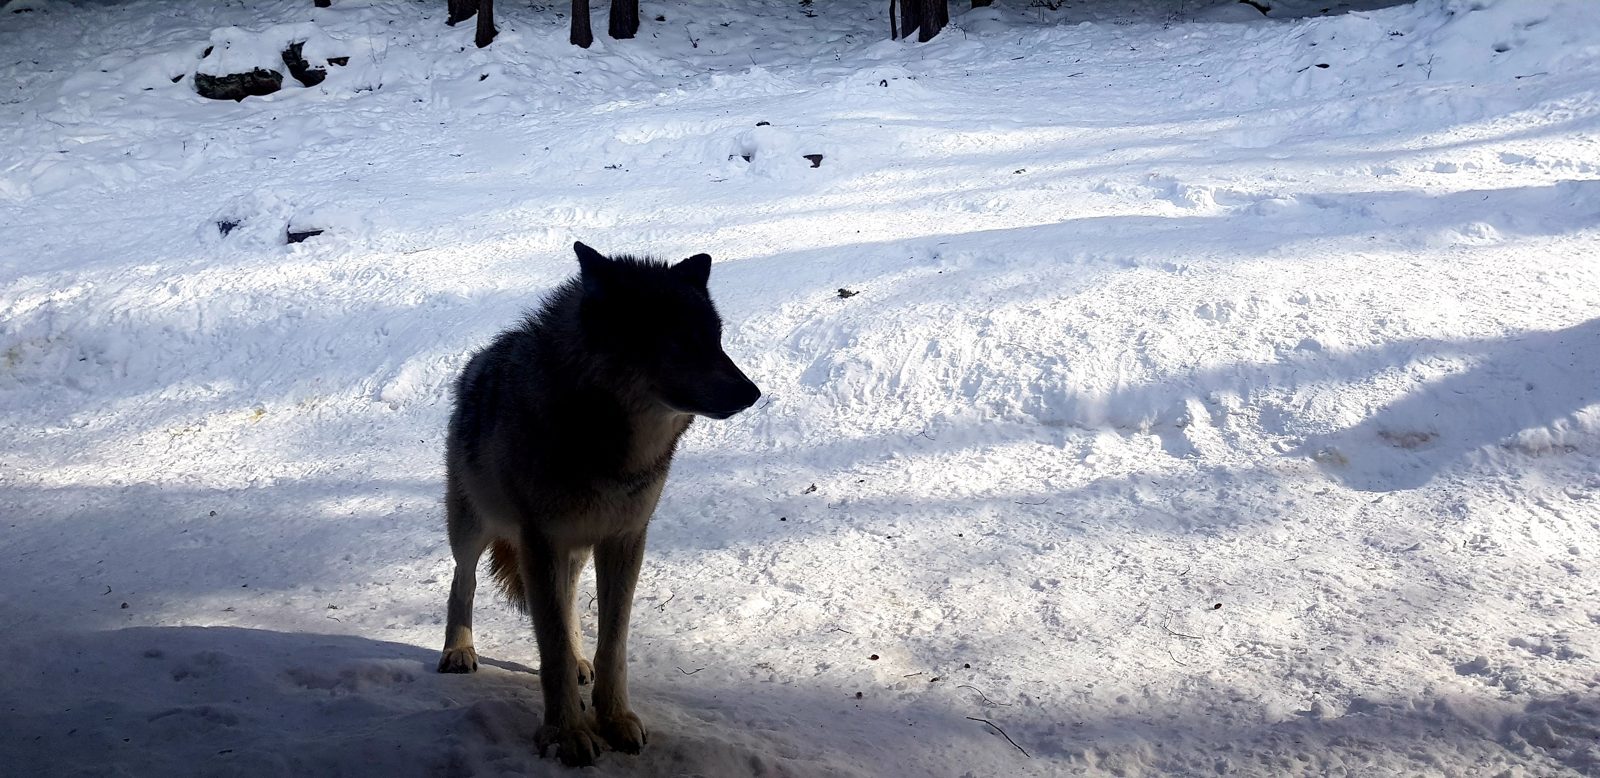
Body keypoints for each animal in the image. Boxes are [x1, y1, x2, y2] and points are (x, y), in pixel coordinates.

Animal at [436, 241, 761, 766]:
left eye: (715, 340)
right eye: (680, 343)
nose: (752, 393)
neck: (608, 449)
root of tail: (479, 361)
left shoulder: (624, 540)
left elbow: (612, 644)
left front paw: (616, 720)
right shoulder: (540, 541)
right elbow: (549, 649)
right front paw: (567, 733)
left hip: (575, 550)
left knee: (567, 604)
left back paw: (578, 660)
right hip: (474, 526)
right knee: (462, 581)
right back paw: (459, 652)